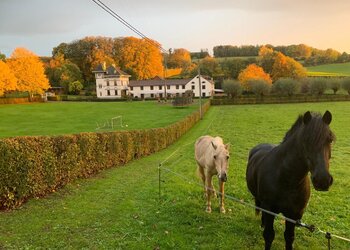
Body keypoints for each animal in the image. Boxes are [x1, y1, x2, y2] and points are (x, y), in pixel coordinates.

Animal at [246, 112, 334, 250]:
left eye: (329, 139)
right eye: (306, 141)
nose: (323, 180)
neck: (286, 179)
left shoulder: (293, 215)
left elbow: (289, 237)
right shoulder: (269, 210)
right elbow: (269, 236)